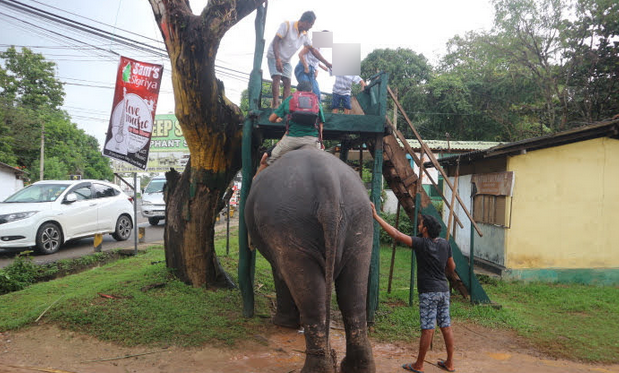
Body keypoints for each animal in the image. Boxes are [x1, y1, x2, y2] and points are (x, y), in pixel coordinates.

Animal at [245, 148, 376, 372]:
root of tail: (327, 179)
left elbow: (279, 272)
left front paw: (282, 323)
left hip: (287, 224)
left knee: (308, 291)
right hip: (361, 220)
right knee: (353, 296)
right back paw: (356, 367)